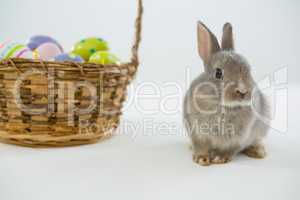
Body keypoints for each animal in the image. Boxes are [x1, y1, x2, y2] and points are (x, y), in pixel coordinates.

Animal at [184, 21, 270, 166]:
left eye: (248, 70)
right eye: (218, 73)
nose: (242, 91)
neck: (222, 106)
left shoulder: (239, 138)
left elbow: (231, 149)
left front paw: (220, 158)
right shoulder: (197, 133)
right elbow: (201, 146)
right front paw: (202, 159)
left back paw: (258, 152)